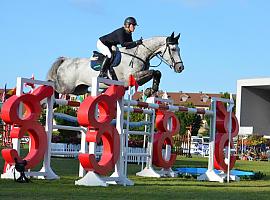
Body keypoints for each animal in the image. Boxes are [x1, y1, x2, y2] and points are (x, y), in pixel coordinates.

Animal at [47, 32, 185, 97]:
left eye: (179, 49)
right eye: (173, 49)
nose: (180, 67)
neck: (139, 53)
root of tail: (66, 60)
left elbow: (157, 72)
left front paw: (150, 91)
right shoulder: (132, 78)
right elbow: (153, 72)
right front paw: (148, 91)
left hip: (79, 89)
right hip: (67, 87)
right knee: (54, 88)